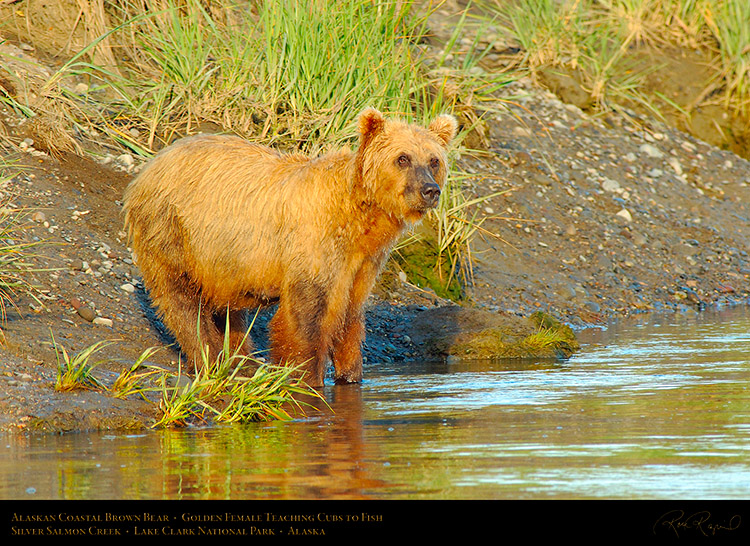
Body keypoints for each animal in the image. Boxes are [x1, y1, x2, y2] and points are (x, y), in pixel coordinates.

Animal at [123, 107, 458, 386]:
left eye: (433, 160)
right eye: (402, 158)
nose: (430, 190)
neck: (358, 218)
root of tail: (148, 167)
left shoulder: (362, 262)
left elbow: (350, 316)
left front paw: (350, 374)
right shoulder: (313, 245)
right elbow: (305, 316)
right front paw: (305, 376)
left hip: (221, 257)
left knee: (225, 308)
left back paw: (241, 360)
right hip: (173, 229)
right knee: (180, 298)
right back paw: (210, 358)